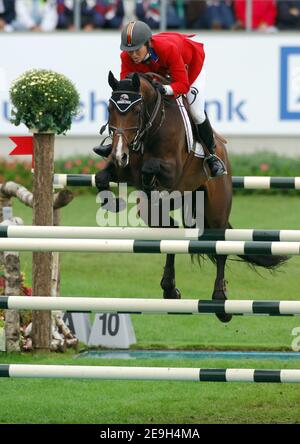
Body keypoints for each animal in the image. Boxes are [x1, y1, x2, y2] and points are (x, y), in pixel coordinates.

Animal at [95, 72, 288, 322]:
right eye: (110, 109)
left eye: (136, 111)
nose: (119, 154)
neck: (151, 126)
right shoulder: (124, 168)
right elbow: (101, 177)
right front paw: (112, 202)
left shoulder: (171, 170)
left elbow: (149, 167)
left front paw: (147, 182)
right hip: (162, 210)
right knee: (168, 233)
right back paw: (170, 289)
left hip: (217, 209)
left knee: (220, 246)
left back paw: (220, 302)